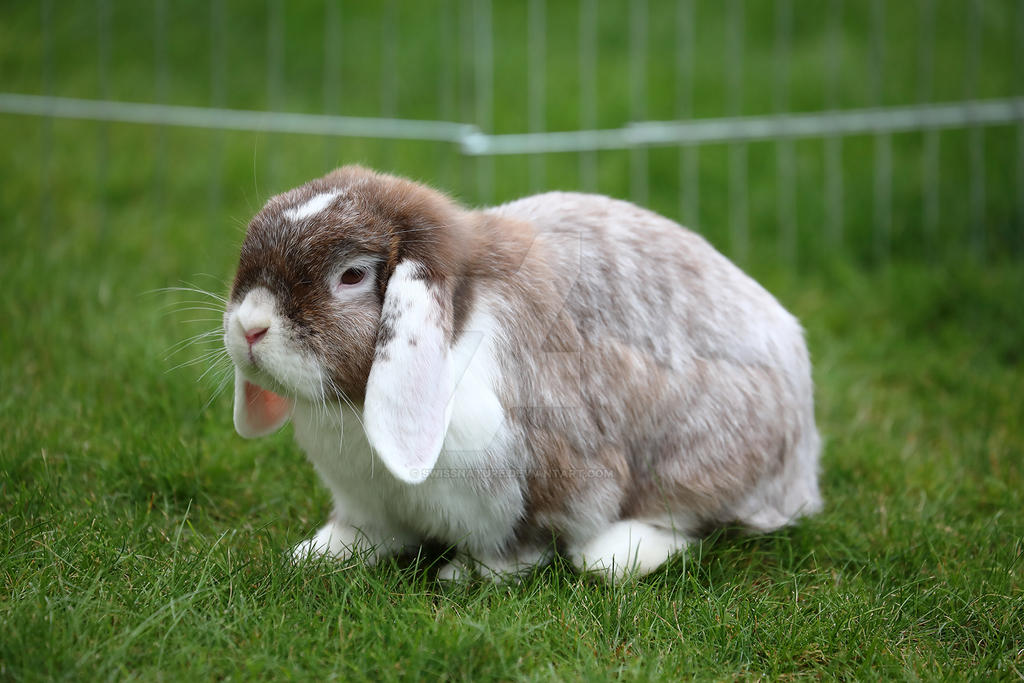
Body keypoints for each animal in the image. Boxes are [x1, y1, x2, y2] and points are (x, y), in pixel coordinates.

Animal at [223, 165, 822, 583]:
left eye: (351, 275)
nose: (250, 326)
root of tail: (802, 459)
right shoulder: (366, 504)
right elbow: (366, 535)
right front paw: (316, 556)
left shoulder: (553, 479)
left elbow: (524, 543)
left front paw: (466, 574)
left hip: (702, 453)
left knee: (690, 517)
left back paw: (616, 553)